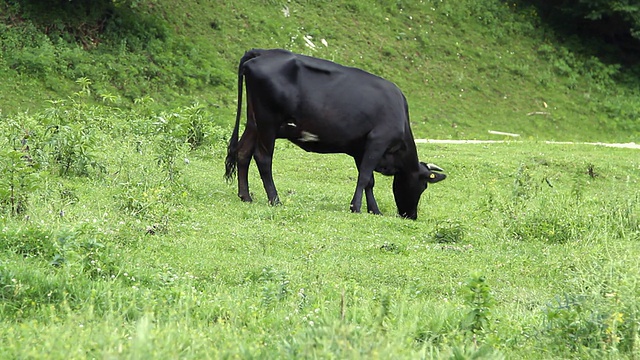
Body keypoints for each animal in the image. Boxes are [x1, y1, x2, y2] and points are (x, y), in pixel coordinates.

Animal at [225, 48, 444, 219]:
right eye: (423, 186)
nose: (411, 216)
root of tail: (263, 52)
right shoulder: (378, 141)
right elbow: (364, 177)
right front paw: (356, 207)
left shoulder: (360, 148)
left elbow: (369, 181)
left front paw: (374, 210)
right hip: (268, 122)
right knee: (263, 158)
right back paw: (275, 199)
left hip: (254, 122)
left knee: (243, 153)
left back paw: (246, 196)